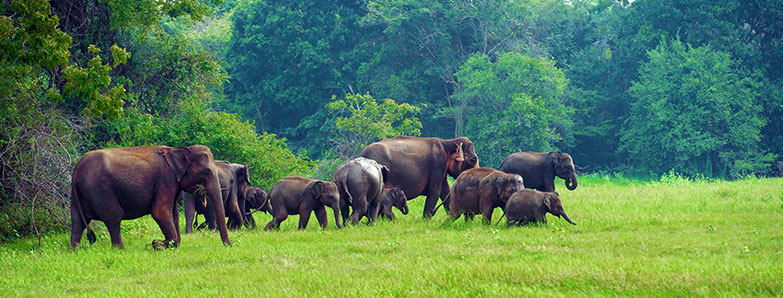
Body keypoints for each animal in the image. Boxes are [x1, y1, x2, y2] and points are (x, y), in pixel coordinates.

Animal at [69, 146, 230, 248]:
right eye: (206, 172)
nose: (229, 246)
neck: (178, 149)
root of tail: (77, 171)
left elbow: (173, 214)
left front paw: (166, 244)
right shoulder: (166, 179)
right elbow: (160, 212)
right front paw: (156, 244)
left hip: (80, 195)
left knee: (78, 221)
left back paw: (74, 250)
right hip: (100, 189)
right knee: (113, 216)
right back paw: (120, 249)